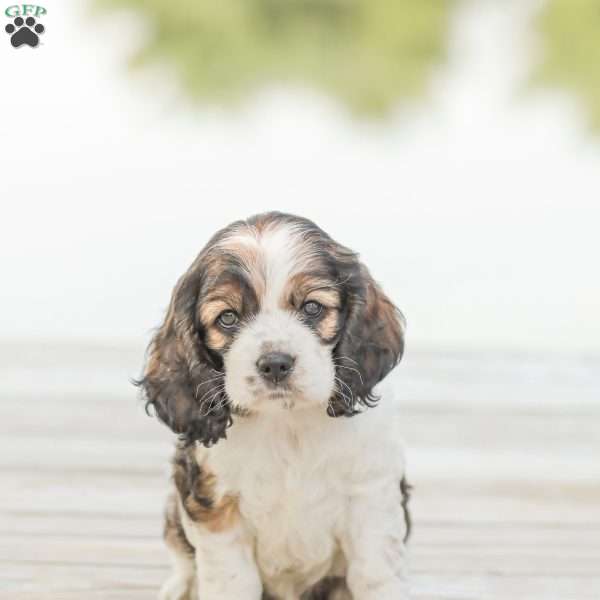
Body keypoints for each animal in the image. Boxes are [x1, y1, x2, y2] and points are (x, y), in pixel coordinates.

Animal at [140, 213, 410, 596]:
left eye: (312, 308)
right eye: (227, 318)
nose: (275, 364)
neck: (287, 423)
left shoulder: (370, 492)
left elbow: (375, 573)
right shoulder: (216, 508)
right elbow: (232, 581)